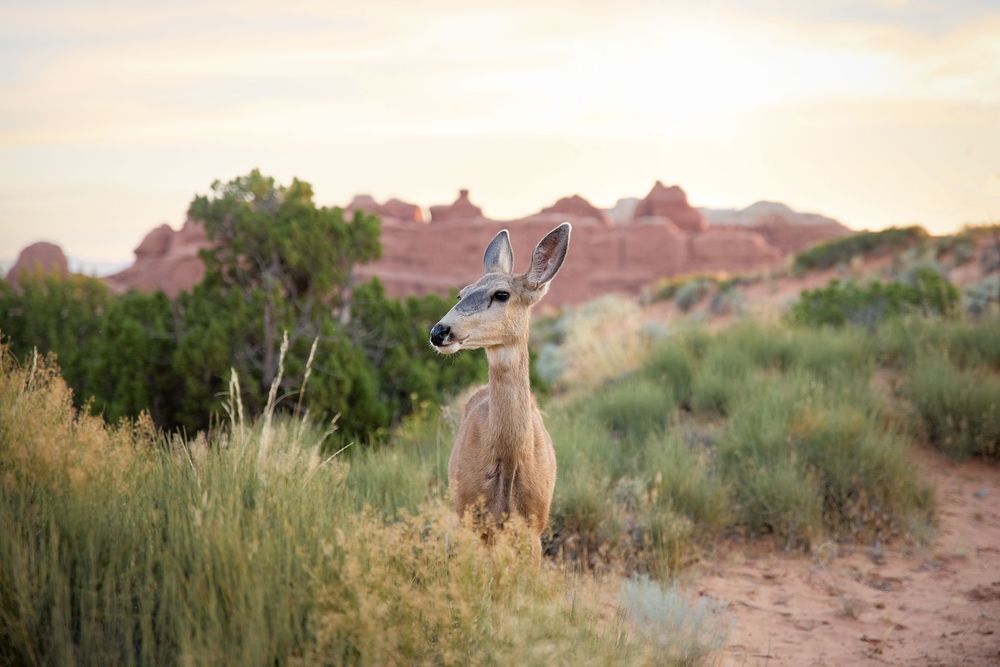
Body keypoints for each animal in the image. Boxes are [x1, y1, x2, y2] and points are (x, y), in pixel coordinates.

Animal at [429, 222, 571, 546]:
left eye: (502, 294)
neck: (508, 464)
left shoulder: (534, 525)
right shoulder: (474, 519)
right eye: (461, 294)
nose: (439, 332)